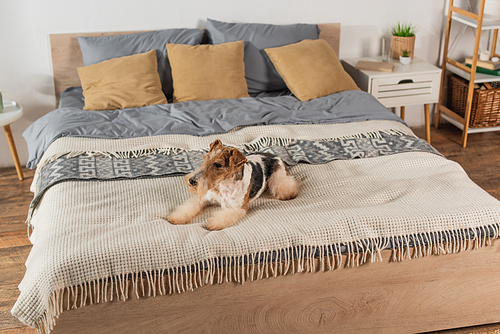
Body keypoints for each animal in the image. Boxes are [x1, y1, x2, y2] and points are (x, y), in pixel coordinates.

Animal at [168, 138, 300, 230]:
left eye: (218, 165)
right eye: (205, 158)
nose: (191, 181)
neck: (223, 184)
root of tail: (276, 156)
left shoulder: (236, 208)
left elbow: (223, 217)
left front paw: (212, 224)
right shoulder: (203, 199)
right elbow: (187, 208)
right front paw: (176, 218)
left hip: (279, 180)